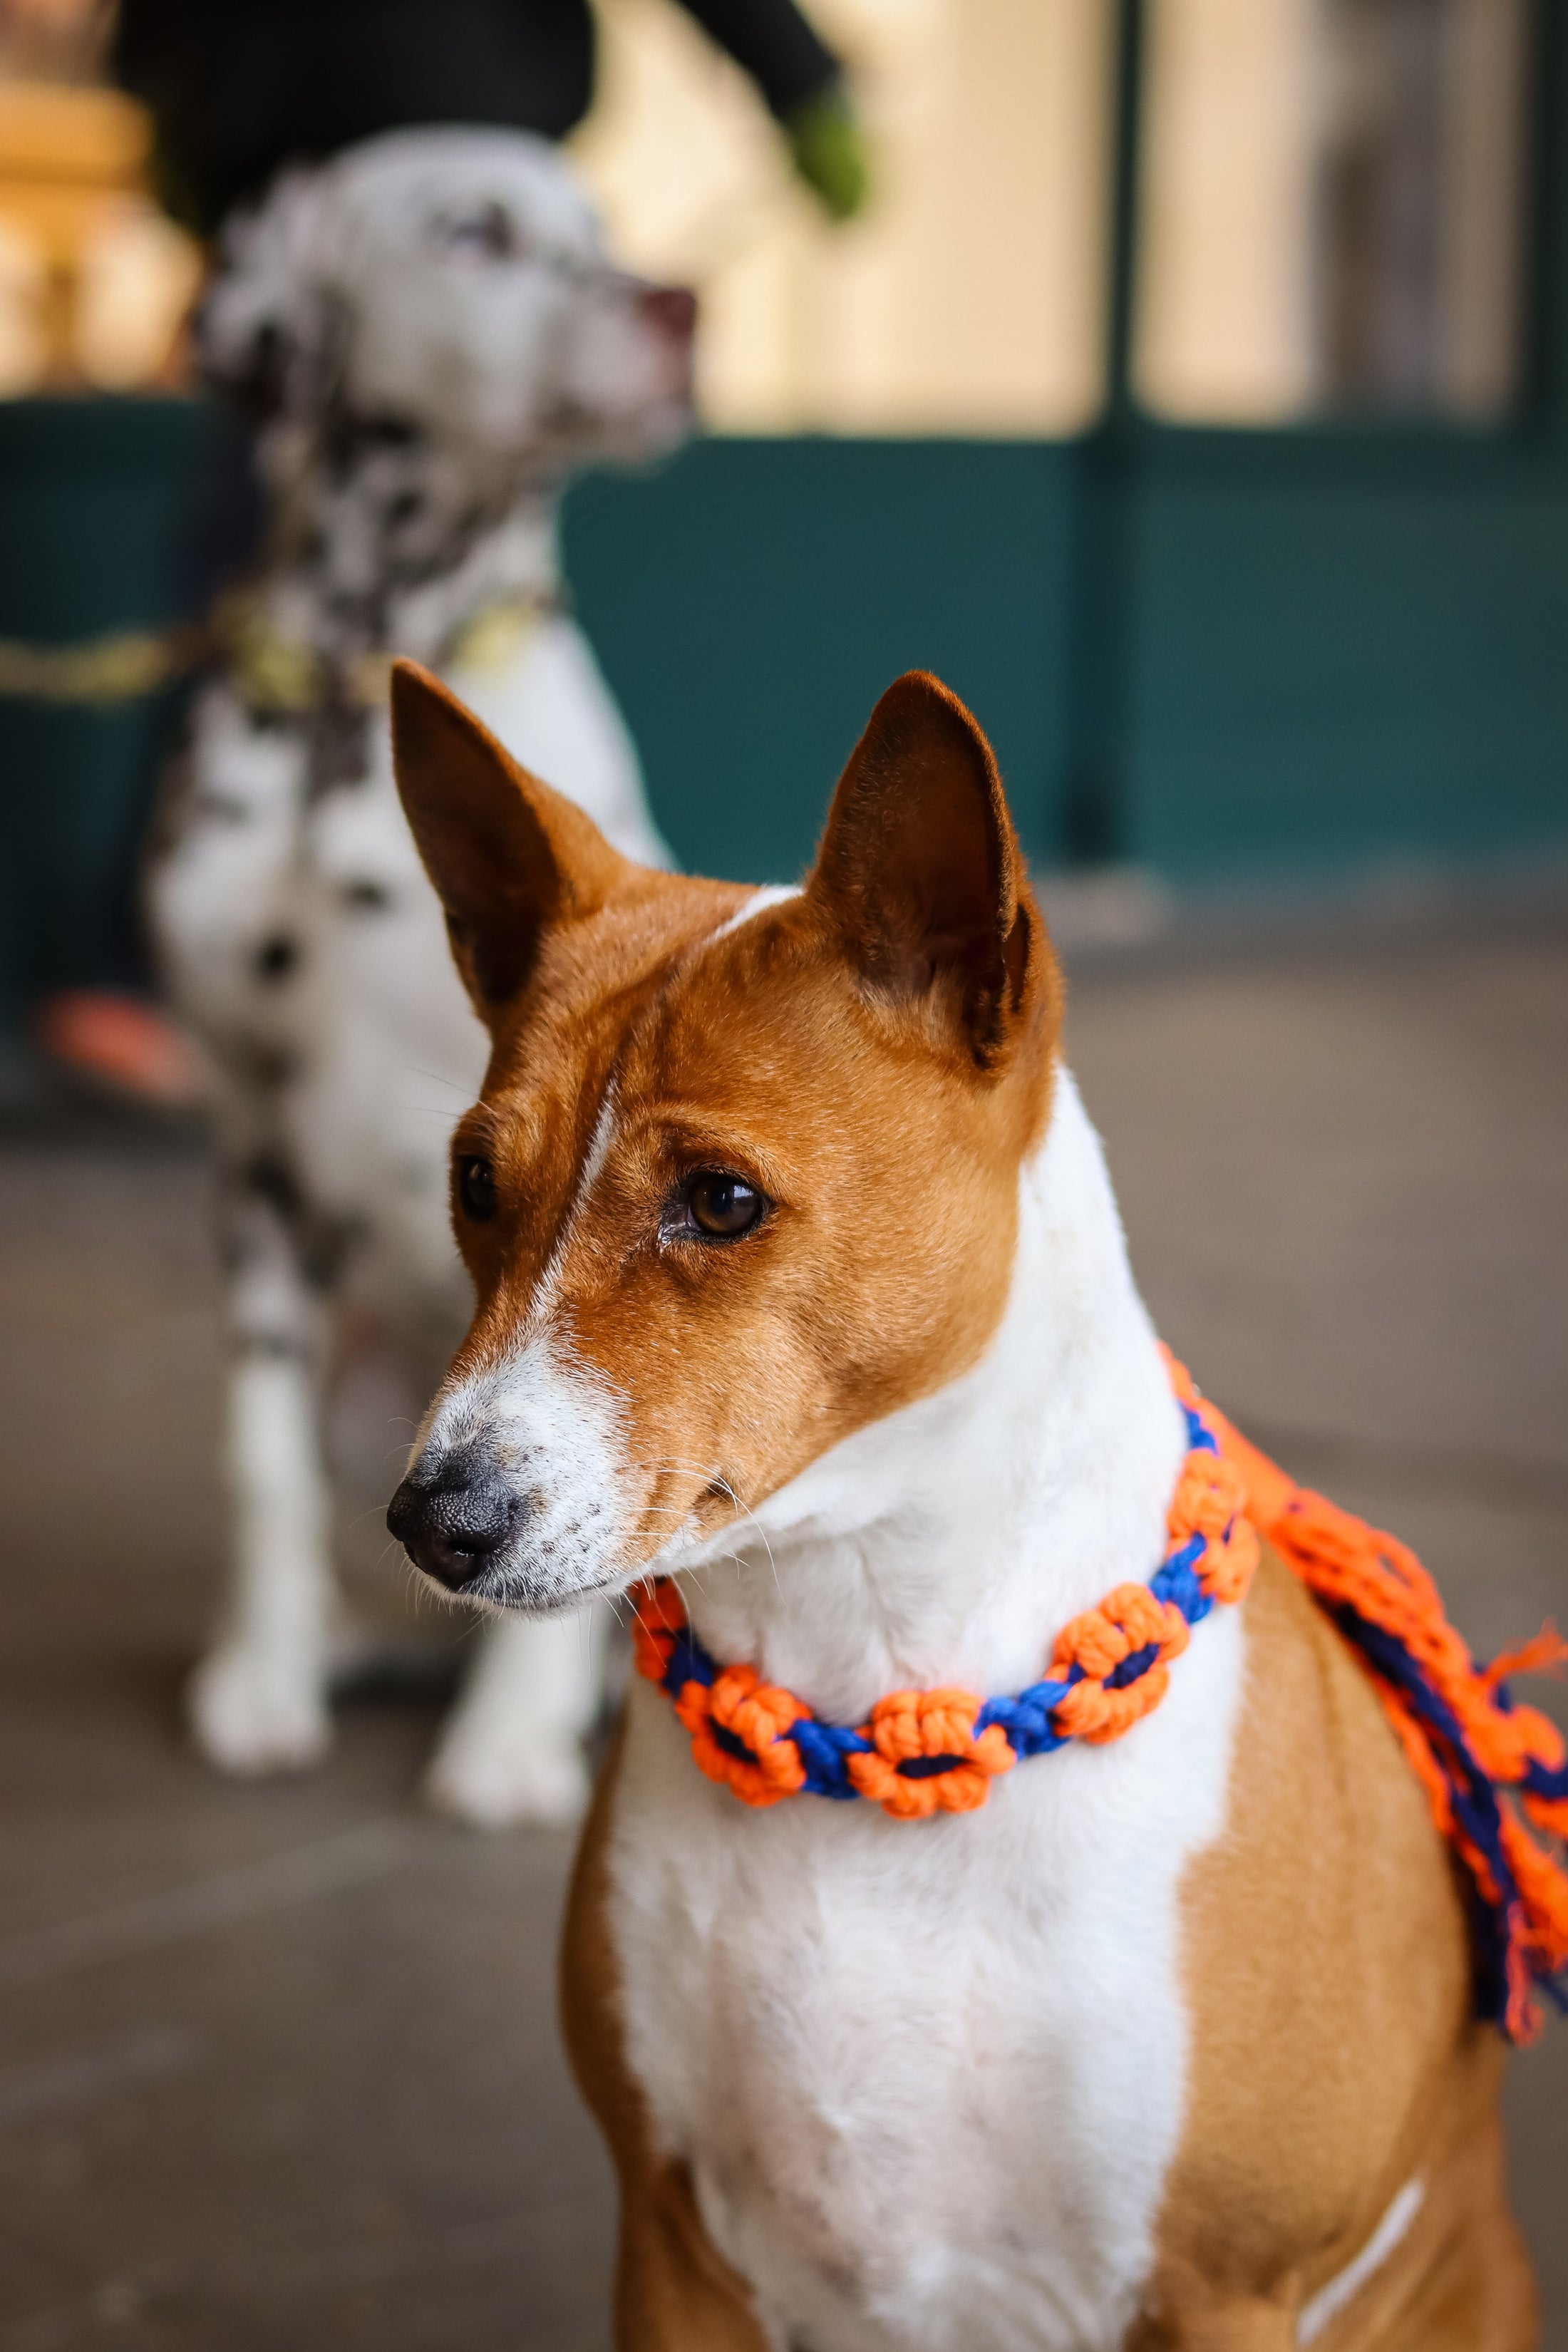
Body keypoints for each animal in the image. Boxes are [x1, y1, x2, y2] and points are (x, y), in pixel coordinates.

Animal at [156, 124, 696, 1815]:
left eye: (601, 224)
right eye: (475, 233)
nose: (679, 305)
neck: (359, 670)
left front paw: (512, 1742)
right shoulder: (247, 1147)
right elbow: (252, 1458)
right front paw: (262, 1673)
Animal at [385, 663, 1542, 2352]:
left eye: (720, 1202)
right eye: (475, 1182)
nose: (434, 1519)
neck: (872, 1692)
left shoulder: (1223, 2292)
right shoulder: (671, 2247)